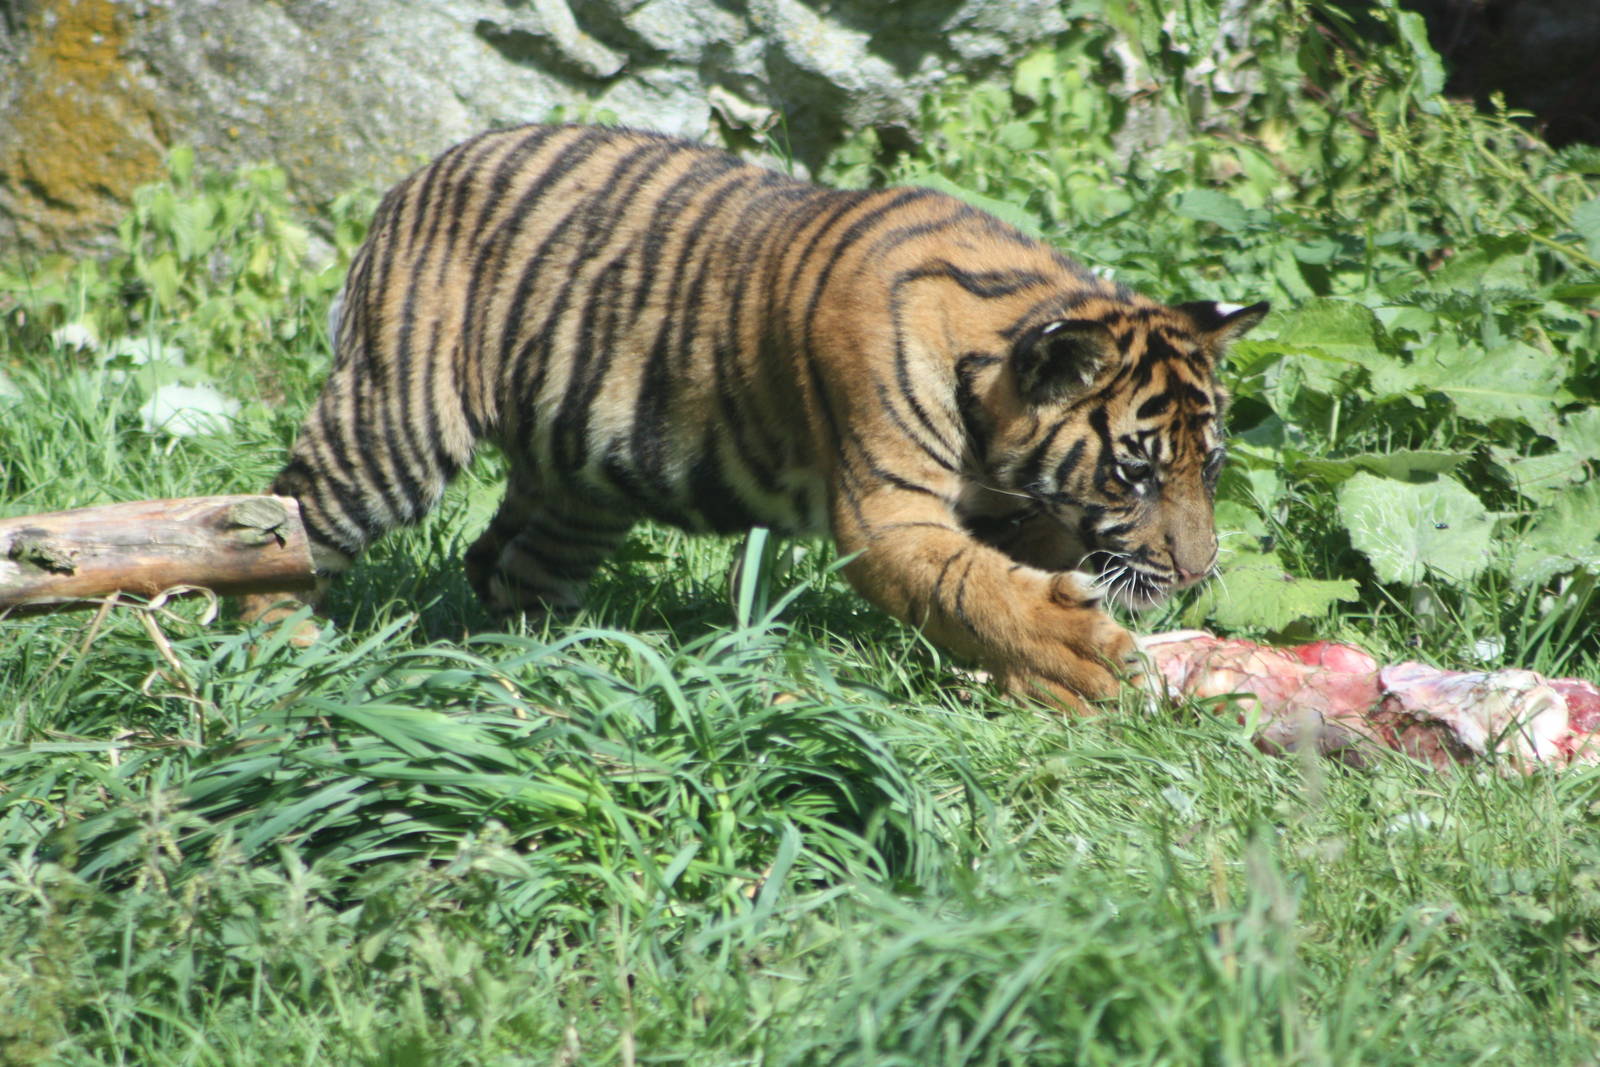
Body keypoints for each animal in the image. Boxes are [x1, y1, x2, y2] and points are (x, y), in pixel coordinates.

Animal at [244, 123, 1267, 710]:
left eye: (1210, 469)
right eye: (1133, 473)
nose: (1197, 570)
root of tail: (416, 176)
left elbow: (1008, 581)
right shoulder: (886, 516)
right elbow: (976, 591)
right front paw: (1086, 663)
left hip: (581, 480)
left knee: (505, 564)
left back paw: (551, 667)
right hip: (396, 426)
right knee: (290, 518)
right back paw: (281, 650)